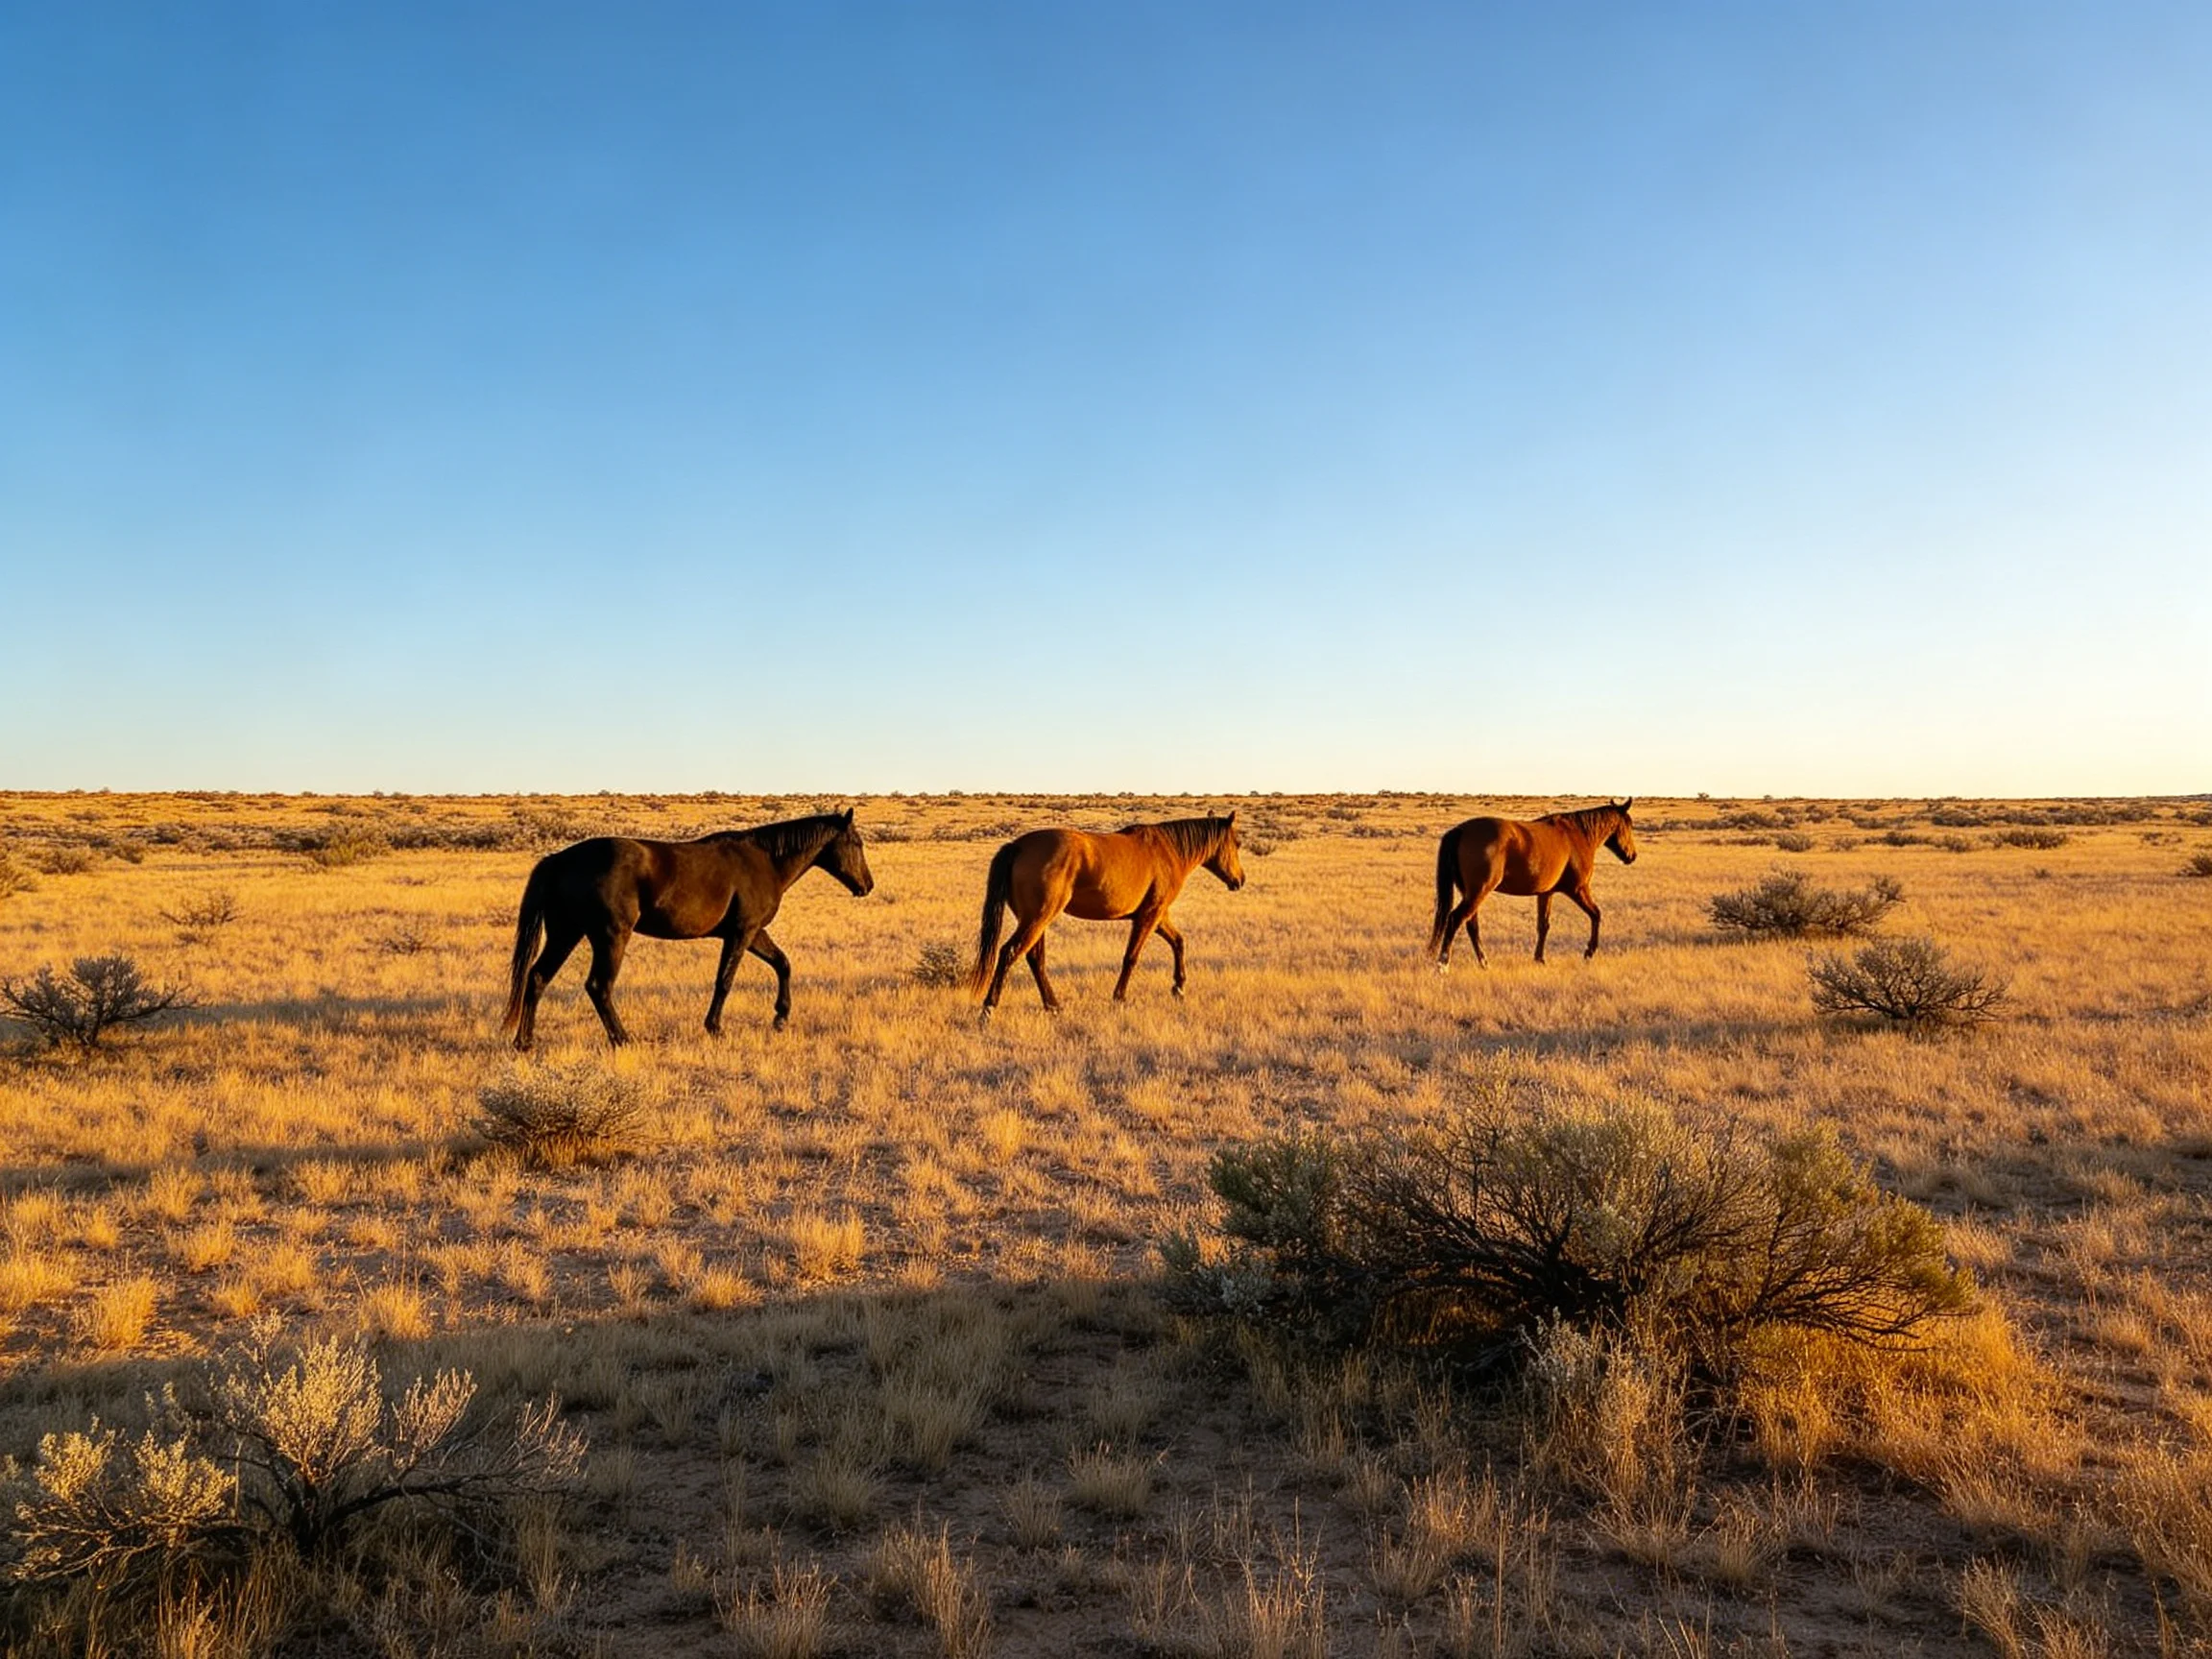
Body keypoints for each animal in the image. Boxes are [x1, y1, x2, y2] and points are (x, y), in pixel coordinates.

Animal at [502, 810, 874, 1050]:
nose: (867, 885)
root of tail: (560, 859)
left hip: (566, 934)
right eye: (856, 843)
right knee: (598, 986)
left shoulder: (754, 934)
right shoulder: (741, 933)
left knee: (537, 977)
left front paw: (781, 1017)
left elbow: (783, 964)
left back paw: (525, 1042)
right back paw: (622, 1039)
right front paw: (715, 1028)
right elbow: (725, 981)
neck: (765, 860)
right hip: (610, 937)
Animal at [969, 813, 1246, 1014]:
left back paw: (1053, 1006)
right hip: (1037, 918)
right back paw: (989, 1007)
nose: (1240, 880)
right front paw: (1120, 998)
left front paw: (1178, 987)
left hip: (1035, 919)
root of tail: (1018, 846)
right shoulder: (1149, 916)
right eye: (1238, 843)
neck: (1169, 851)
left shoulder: (1157, 916)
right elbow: (1131, 957)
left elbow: (1178, 942)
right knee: (1010, 952)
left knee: (1035, 958)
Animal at [1428, 800, 1637, 969]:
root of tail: (1461, 830)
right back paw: (1443, 965)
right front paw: (1589, 952)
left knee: (1471, 924)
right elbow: (1596, 915)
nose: (1632, 856)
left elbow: (1543, 925)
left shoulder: (1546, 893)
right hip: (1479, 892)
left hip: (1472, 893)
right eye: (1629, 825)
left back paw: (1484, 963)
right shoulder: (1578, 890)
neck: (1577, 835)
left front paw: (1539, 959)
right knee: (1455, 919)